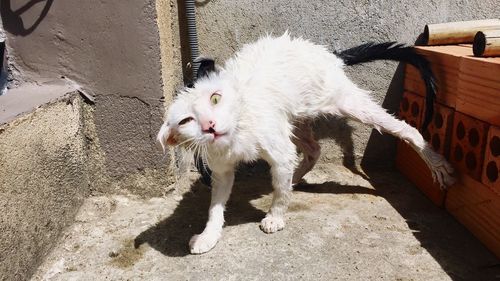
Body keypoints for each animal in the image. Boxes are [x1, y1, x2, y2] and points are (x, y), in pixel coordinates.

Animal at [156, 32, 454, 254]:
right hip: (294, 119)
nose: (210, 125)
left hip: (345, 103)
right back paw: (296, 178)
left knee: (407, 128)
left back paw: (437, 163)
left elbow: (279, 191)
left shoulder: (278, 150)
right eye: (186, 121)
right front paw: (208, 236)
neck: (238, 134)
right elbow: (215, 207)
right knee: (313, 149)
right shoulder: (222, 171)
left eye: (215, 98)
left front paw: (276, 216)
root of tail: (327, 53)